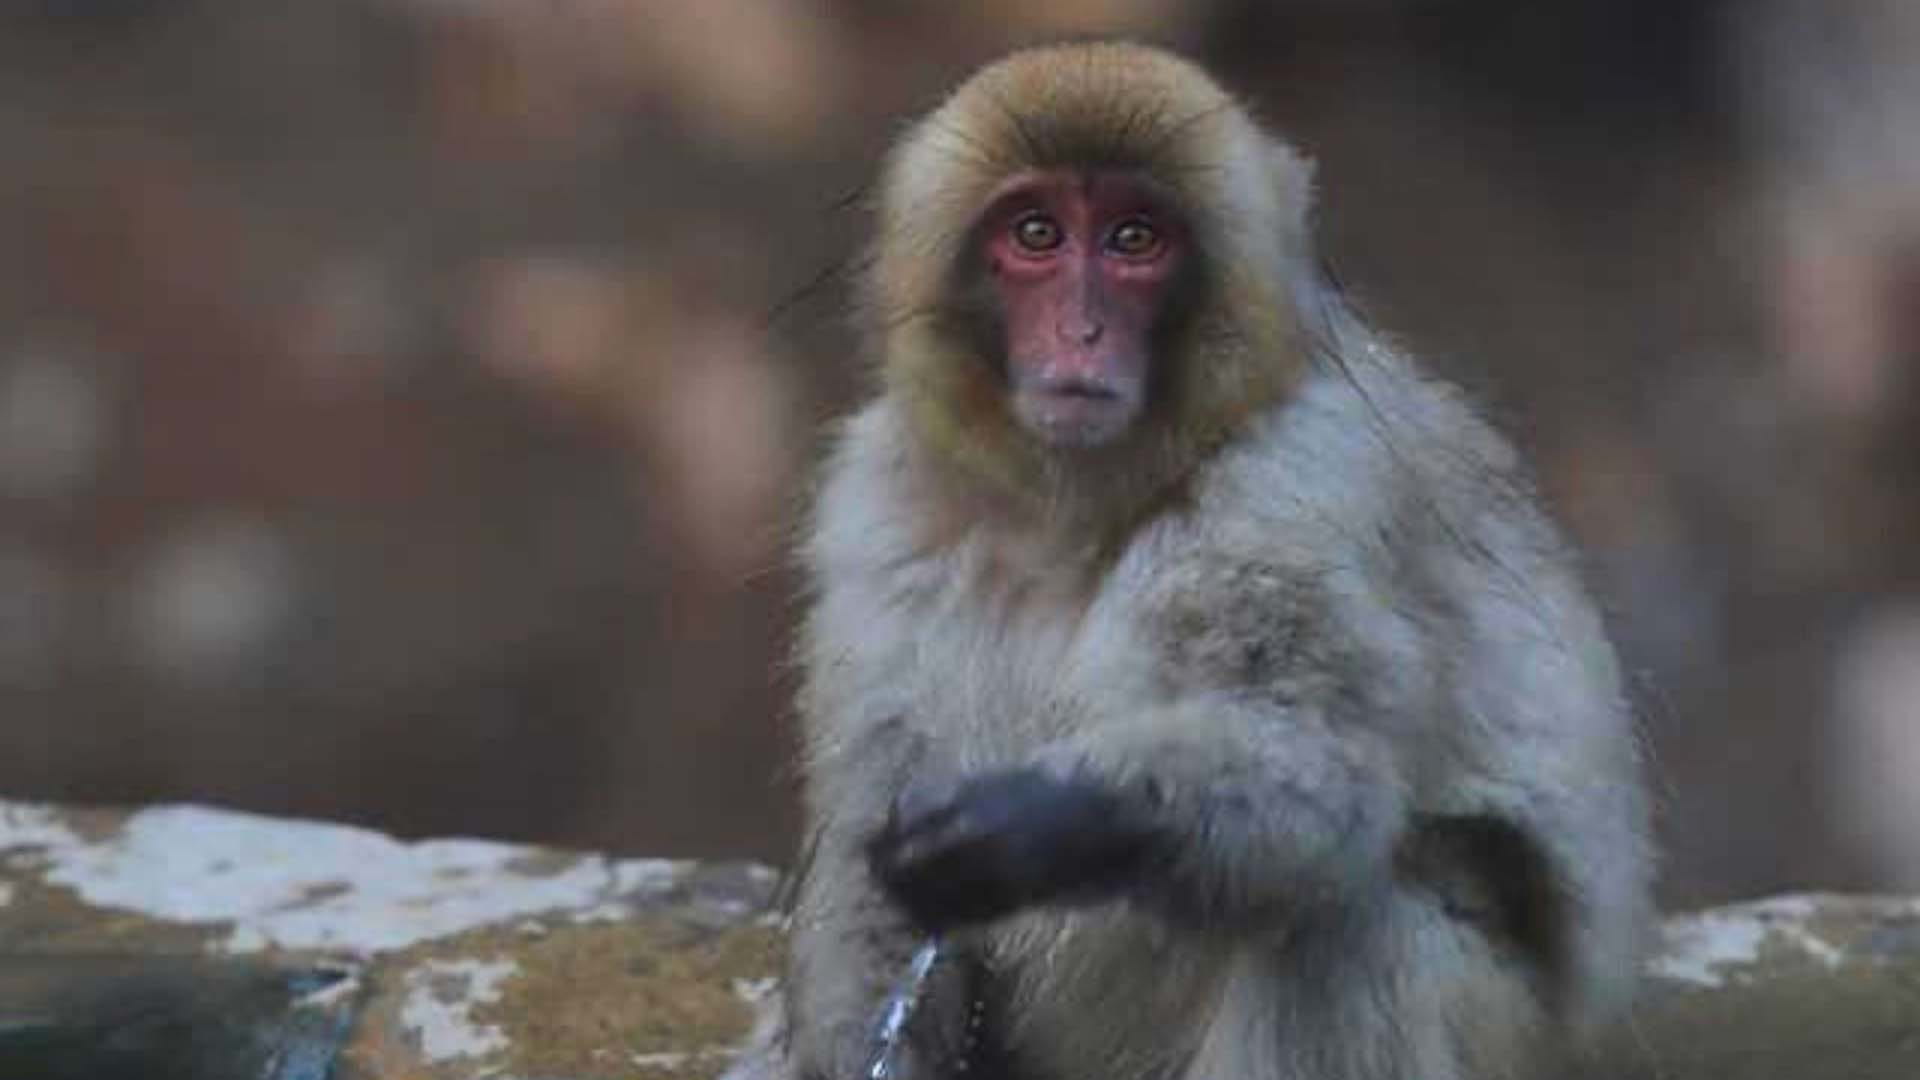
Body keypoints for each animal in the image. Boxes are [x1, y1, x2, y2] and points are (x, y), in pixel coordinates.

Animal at [752, 41, 1654, 1080]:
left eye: (1136, 240)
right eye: (1036, 234)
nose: (1083, 332)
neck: (1073, 514)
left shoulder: (1301, 473)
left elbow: (1322, 774)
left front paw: (1039, 819)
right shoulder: (876, 508)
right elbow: (868, 851)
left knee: (1349, 917)